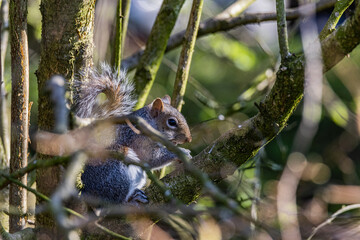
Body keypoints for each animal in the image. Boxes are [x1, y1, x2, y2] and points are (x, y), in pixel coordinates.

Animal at [74, 64, 193, 204]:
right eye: (172, 122)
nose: (188, 139)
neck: (147, 124)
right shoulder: (138, 139)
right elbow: (152, 158)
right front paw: (182, 153)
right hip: (114, 170)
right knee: (115, 200)